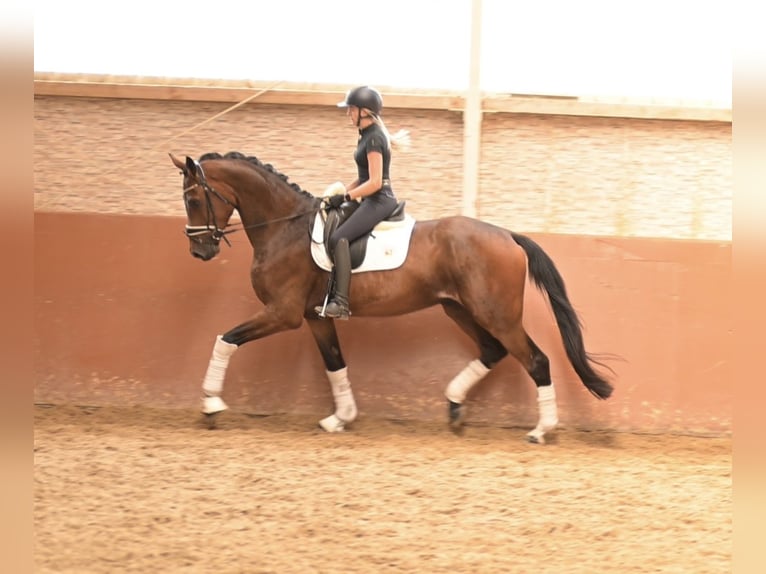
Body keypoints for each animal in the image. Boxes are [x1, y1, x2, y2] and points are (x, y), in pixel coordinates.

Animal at [170, 151, 614, 444]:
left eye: (192, 199)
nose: (199, 251)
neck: (285, 229)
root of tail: (508, 235)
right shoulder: (314, 317)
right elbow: (335, 363)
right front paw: (341, 418)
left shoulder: (283, 313)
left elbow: (225, 340)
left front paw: (211, 405)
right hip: (460, 308)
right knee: (493, 351)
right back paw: (455, 405)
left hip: (496, 313)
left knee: (535, 360)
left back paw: (541, 430)